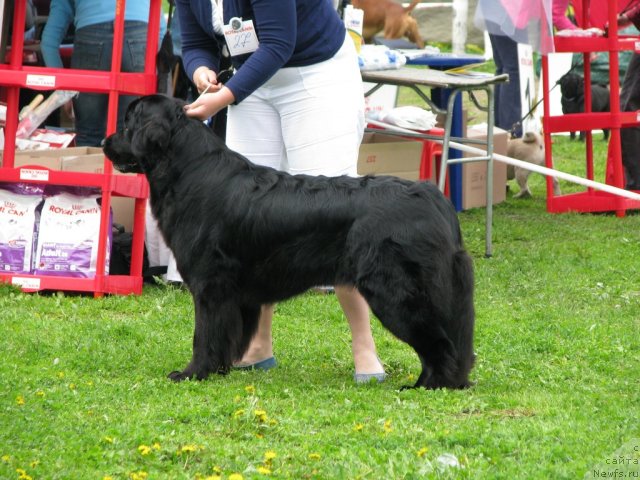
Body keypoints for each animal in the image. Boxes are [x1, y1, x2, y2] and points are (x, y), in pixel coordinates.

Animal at [104, 94, 476, 390]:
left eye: (127, 124)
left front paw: (192, 373)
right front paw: (224, 369)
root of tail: (433, 197)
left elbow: (204, 335)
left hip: (397, 291)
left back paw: (430, 386)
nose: (106, 143)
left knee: (441, 345)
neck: (188, 169)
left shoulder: (211, 286)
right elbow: (231, 336)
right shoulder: (239, 295)